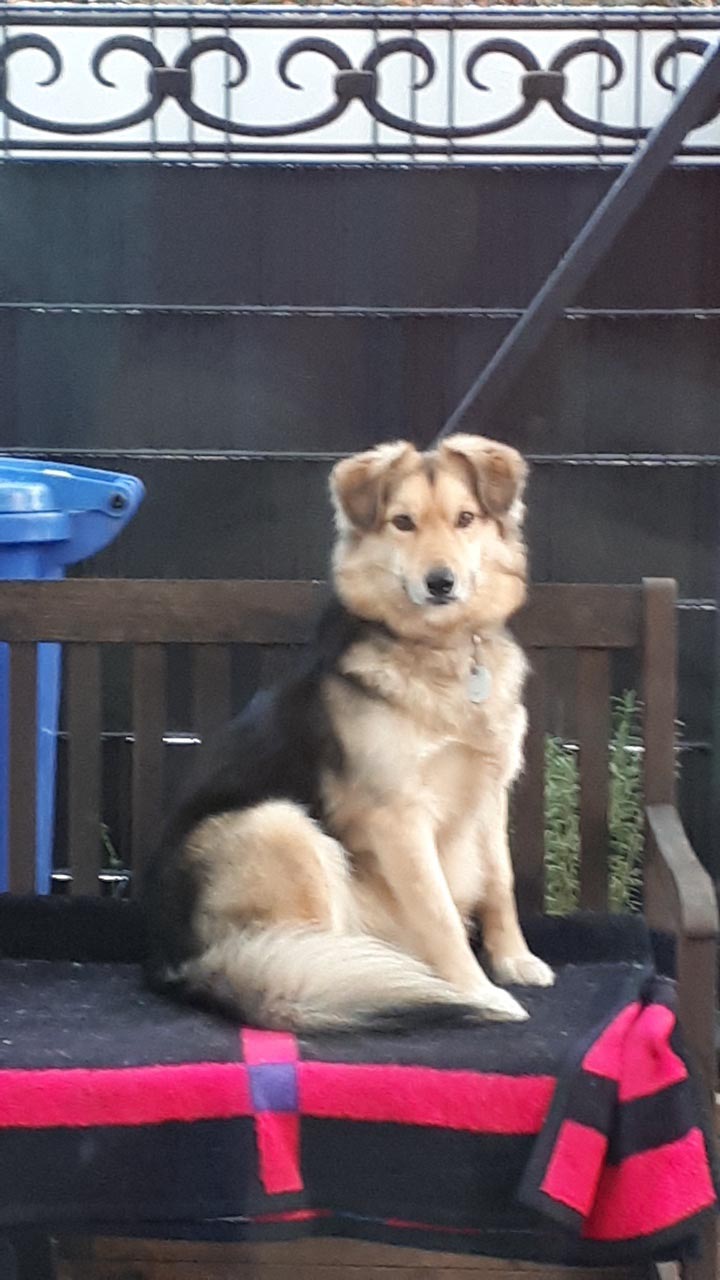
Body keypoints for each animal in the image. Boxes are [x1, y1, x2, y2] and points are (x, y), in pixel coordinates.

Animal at [143, 434, 554, 1032]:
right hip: (278, 826)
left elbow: (500, 882)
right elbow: (439, 912)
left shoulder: (489, 789)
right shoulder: (399, 815)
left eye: (466, 519)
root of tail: (175, 961)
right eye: (403, 523)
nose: (441, 583)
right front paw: (477, 990)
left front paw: (514, 960)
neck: (439, 650)